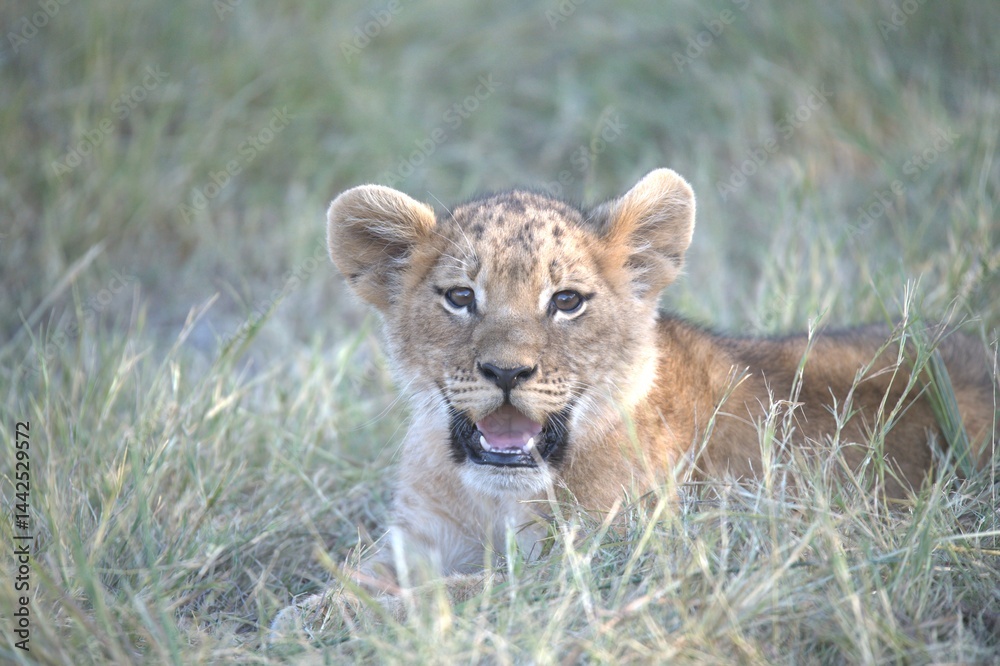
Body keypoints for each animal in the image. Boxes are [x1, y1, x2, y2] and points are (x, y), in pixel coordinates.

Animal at [271, 168, 996, 635]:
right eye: (459, 297)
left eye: (566, 301)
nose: (506, 371)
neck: (491, 500)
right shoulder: (414, 539)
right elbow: (366, 574)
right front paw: (318, 605)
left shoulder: (609, 571)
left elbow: (459, 594)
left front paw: (322, 619)